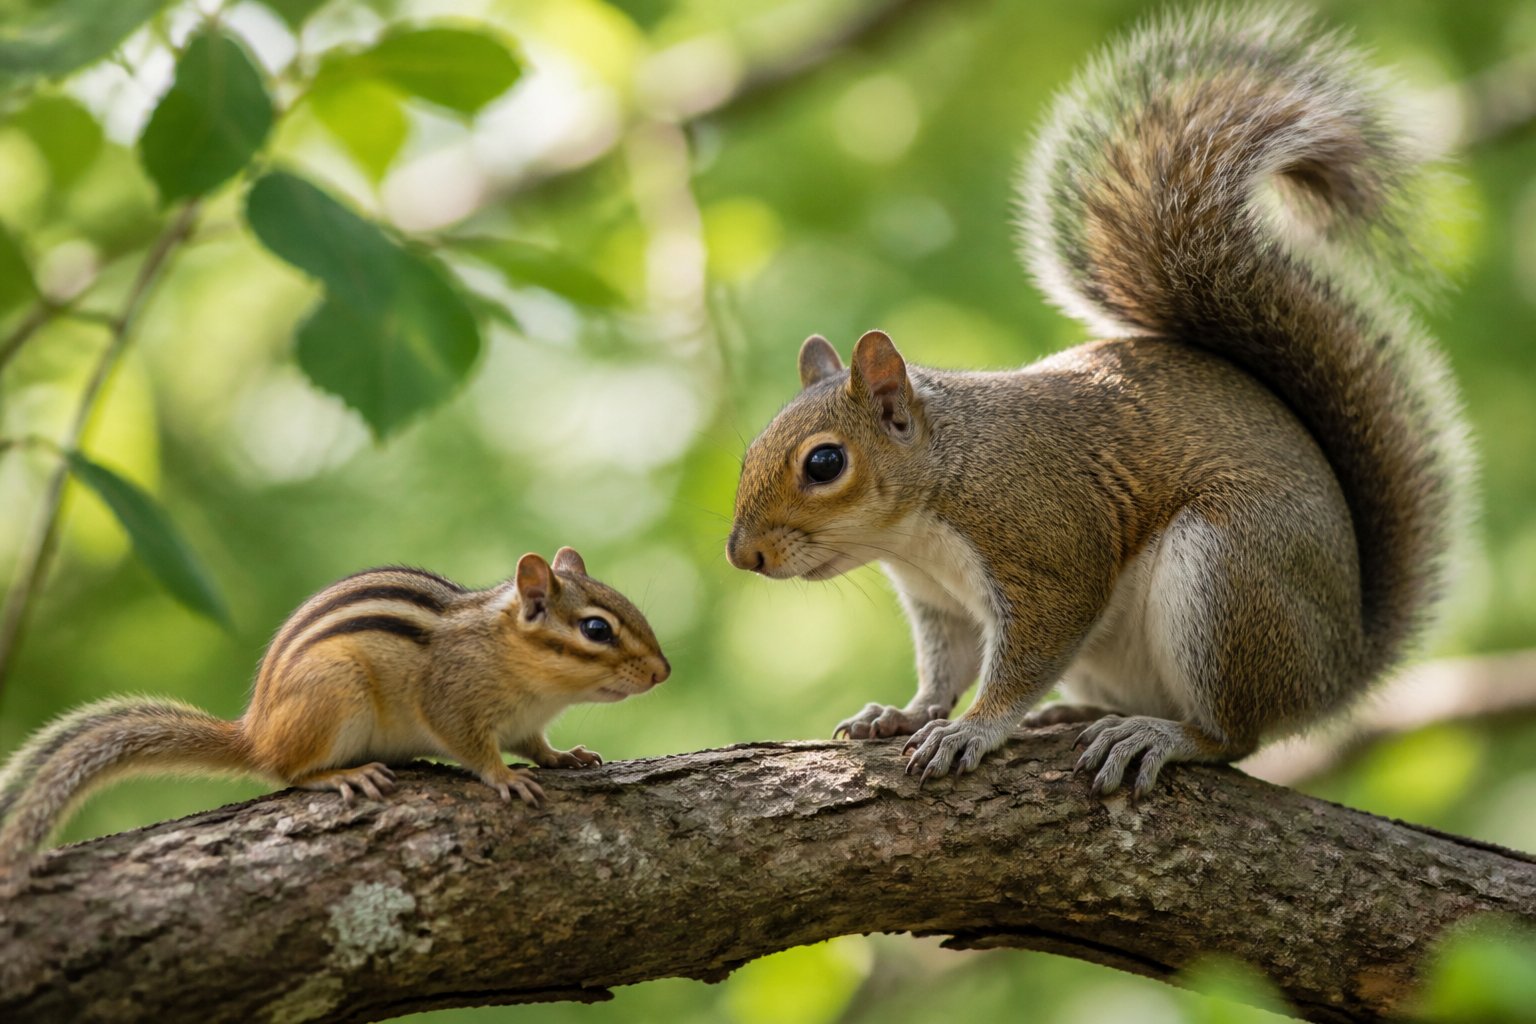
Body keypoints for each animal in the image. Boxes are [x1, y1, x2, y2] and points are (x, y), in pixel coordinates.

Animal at [0, 548, 670, 863]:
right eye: (596, 630)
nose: (663, 672)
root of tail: (255, 731)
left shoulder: (528, 724)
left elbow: (538, 746)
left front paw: (566, 758)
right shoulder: (451, 702)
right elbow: (474, 748)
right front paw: (505, 778)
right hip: (334, 693)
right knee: (288, 771)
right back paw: (344, 775)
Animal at [726, 8, 1469, 797]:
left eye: (825, 463)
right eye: (749, 454)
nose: (744, 554)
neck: (924, 515)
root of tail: (1337, 666)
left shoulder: (1048, 543)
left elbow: (1026, 657)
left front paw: (970, 731)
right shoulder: (938, 602)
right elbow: (943, 669)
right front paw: (902, 713)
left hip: (1228, 578)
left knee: (1232, 735)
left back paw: (1159, 736)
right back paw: (1078, 714)